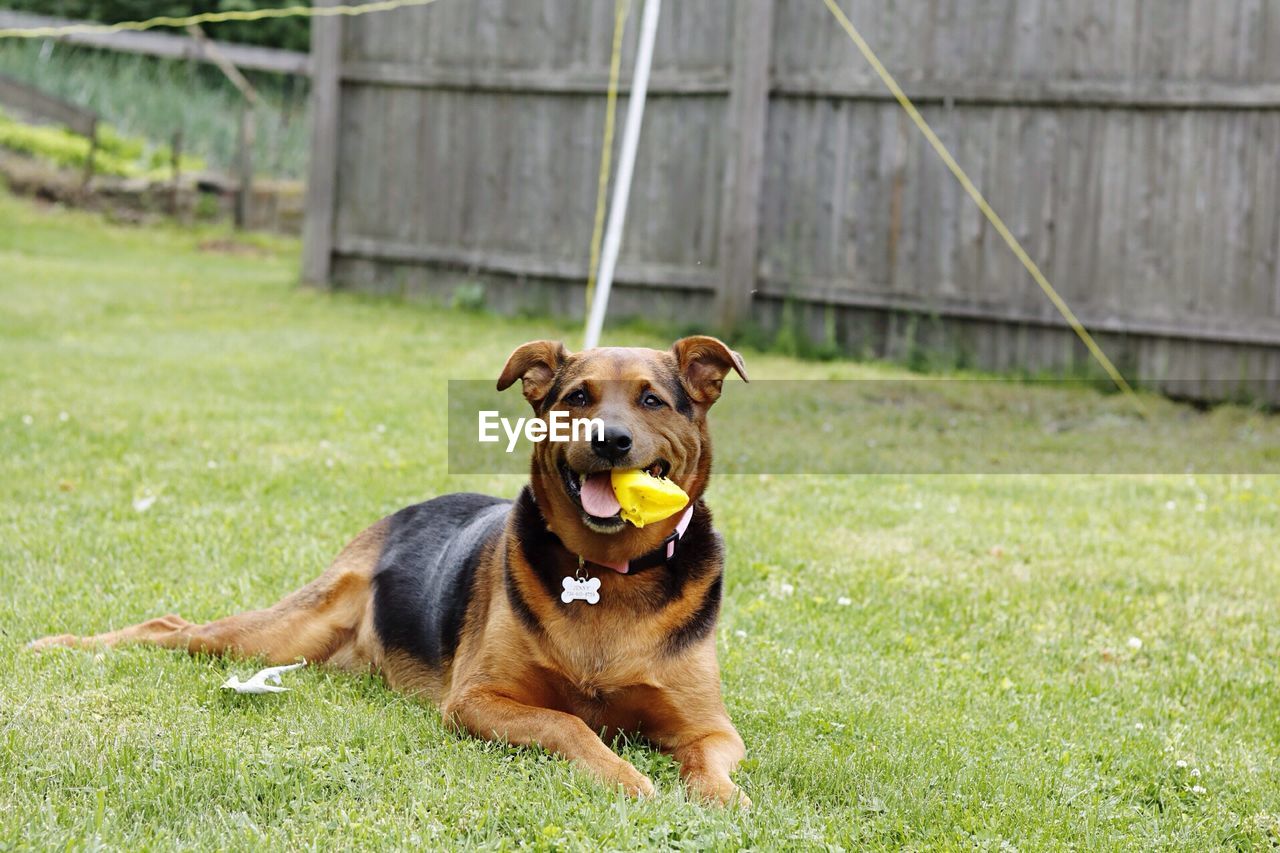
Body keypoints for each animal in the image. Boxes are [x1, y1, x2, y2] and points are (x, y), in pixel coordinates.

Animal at [35, 333, 747, 804]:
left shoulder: (708, 727)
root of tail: (398, 516)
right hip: (275, 633)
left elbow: (710, 764)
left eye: (652, 401)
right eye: (578, 396)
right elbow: (569, 724)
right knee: (170, 626)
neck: (608, 571)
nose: (610, 441)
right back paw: (63, 644)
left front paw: (723, 801)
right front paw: (628, 778)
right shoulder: (477, 701)